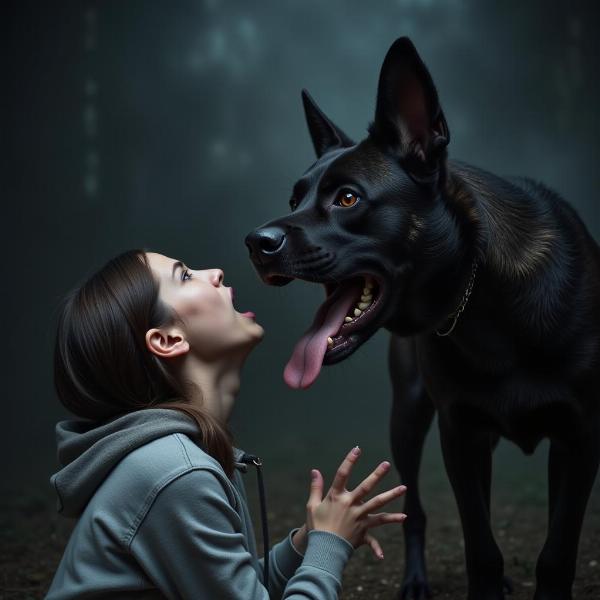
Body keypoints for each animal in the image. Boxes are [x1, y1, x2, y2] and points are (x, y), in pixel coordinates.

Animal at [245, 37, 600, 600]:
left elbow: (556, 552)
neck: (486, 301)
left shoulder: (580, 438)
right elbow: (481, 548)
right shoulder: (459, 432)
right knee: (416, 511)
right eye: (295, 199)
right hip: (409, 416)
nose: (255, 244)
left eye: (348, 198)